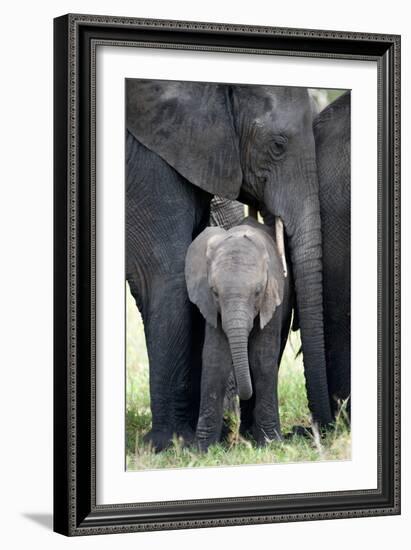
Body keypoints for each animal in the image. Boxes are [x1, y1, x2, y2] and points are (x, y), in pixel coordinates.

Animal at [185, 218, 294, 450]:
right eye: (215, 292)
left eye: (258, 292)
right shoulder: (211, 307)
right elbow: (215, 358)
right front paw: (201, 449)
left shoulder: (273, 298)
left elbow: (262, 359)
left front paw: (271, 444)